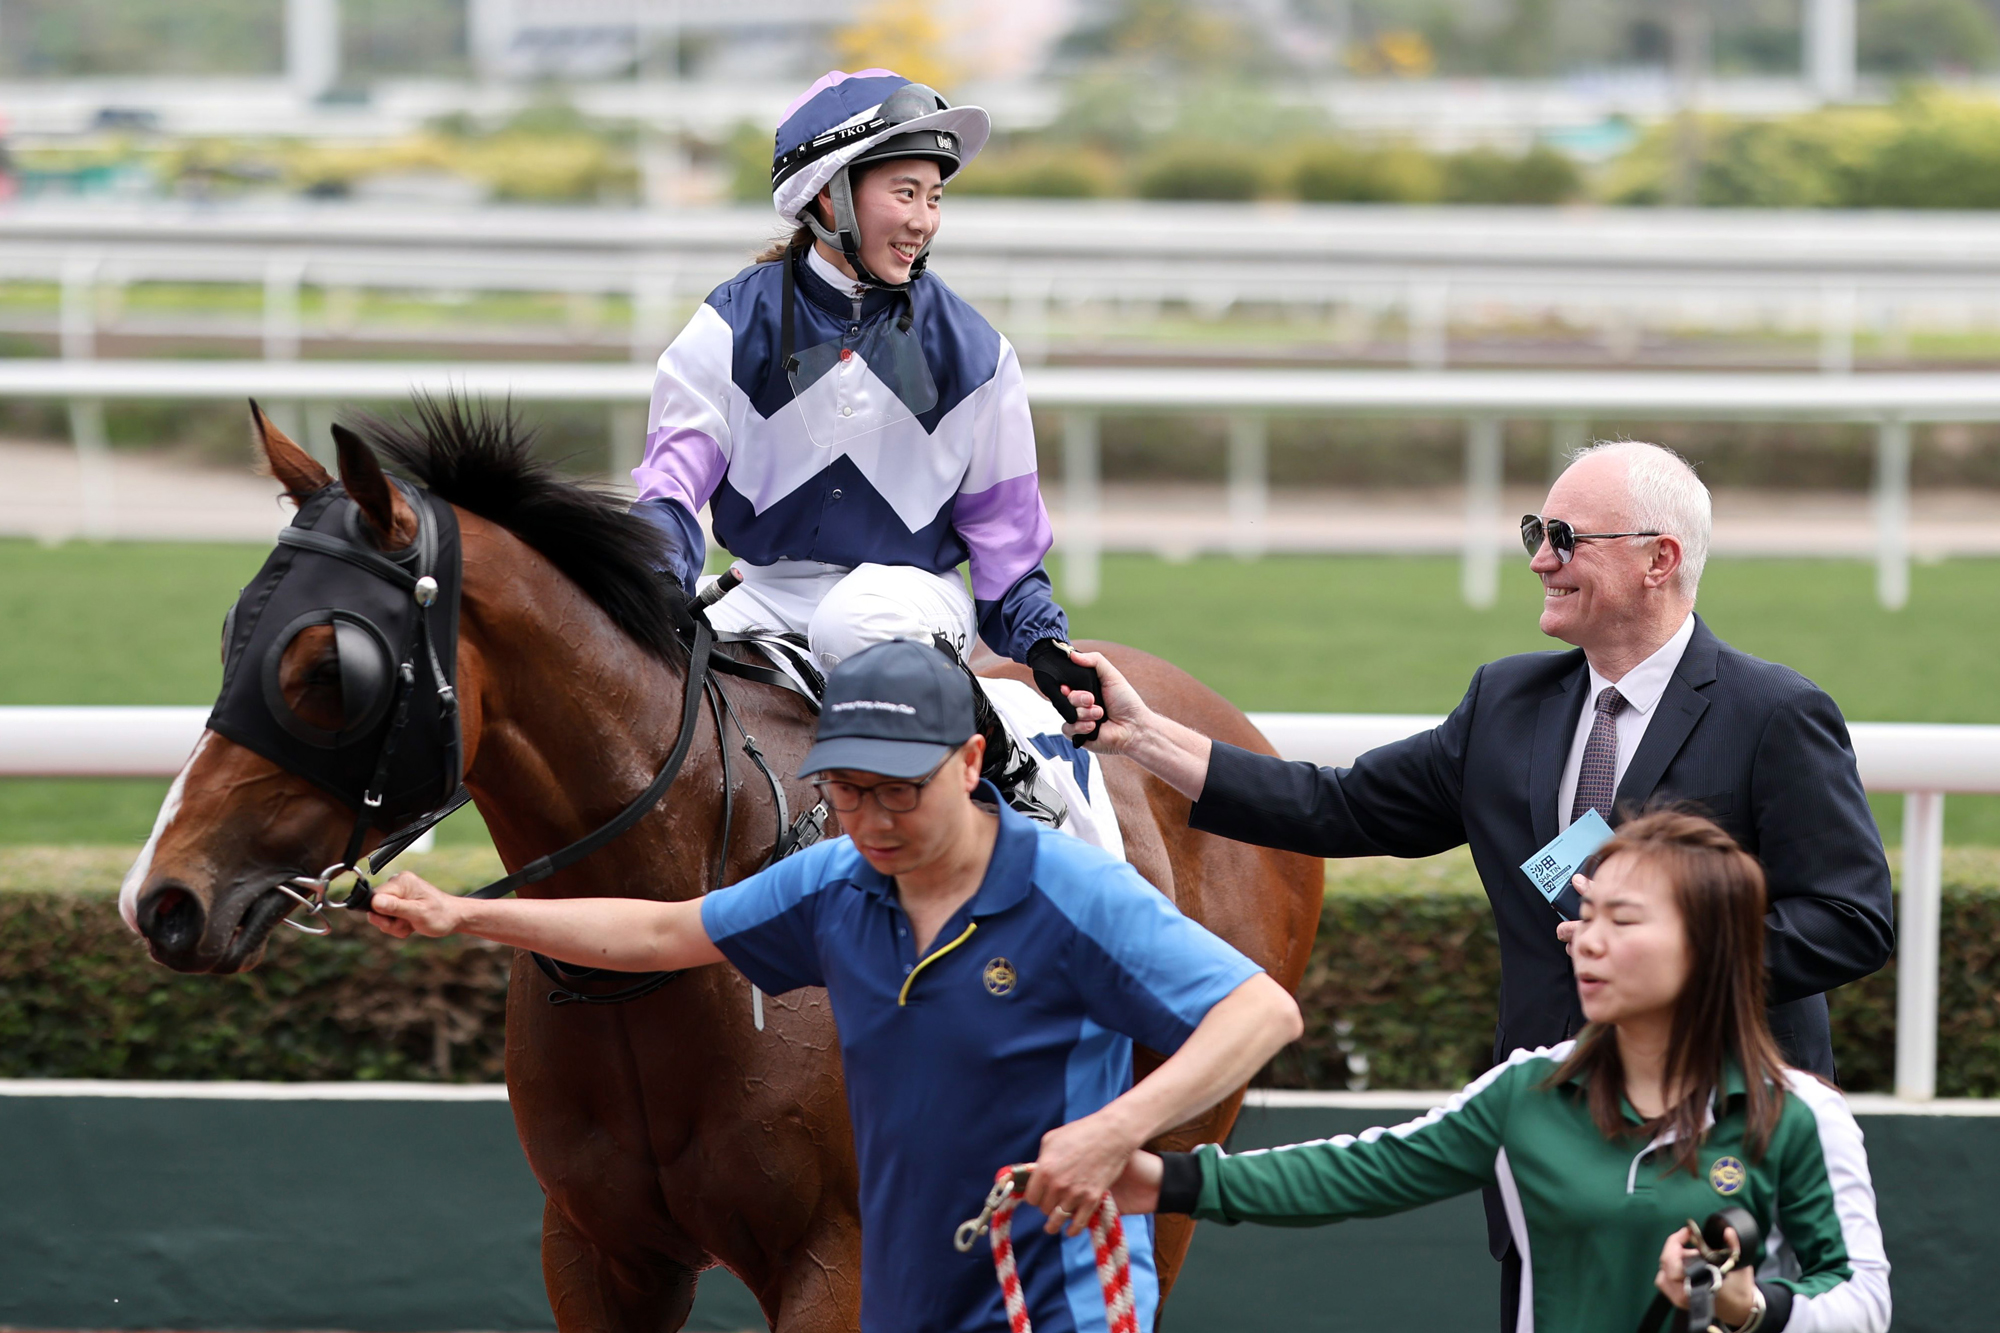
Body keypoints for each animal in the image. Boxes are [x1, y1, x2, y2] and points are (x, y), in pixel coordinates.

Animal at [117, 400, 1320, 1320]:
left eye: (329, 665)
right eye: (232, 633)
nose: (163, 899)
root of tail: (1230, 730)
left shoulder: (837, 1256)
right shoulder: (597, 1251)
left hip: (1156, 1156)